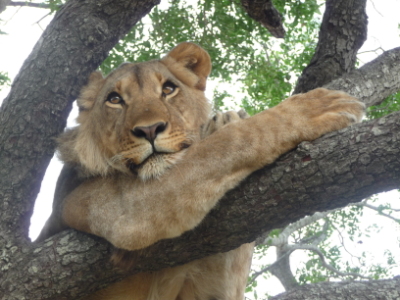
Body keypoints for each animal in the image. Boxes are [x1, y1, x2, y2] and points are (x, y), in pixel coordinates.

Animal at [37, 41, 366, 298]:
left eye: (168, 89)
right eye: (114, 99)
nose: (149, 129)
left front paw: (225, 119)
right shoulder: (116, 208)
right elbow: (226, 144)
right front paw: (312, 108)